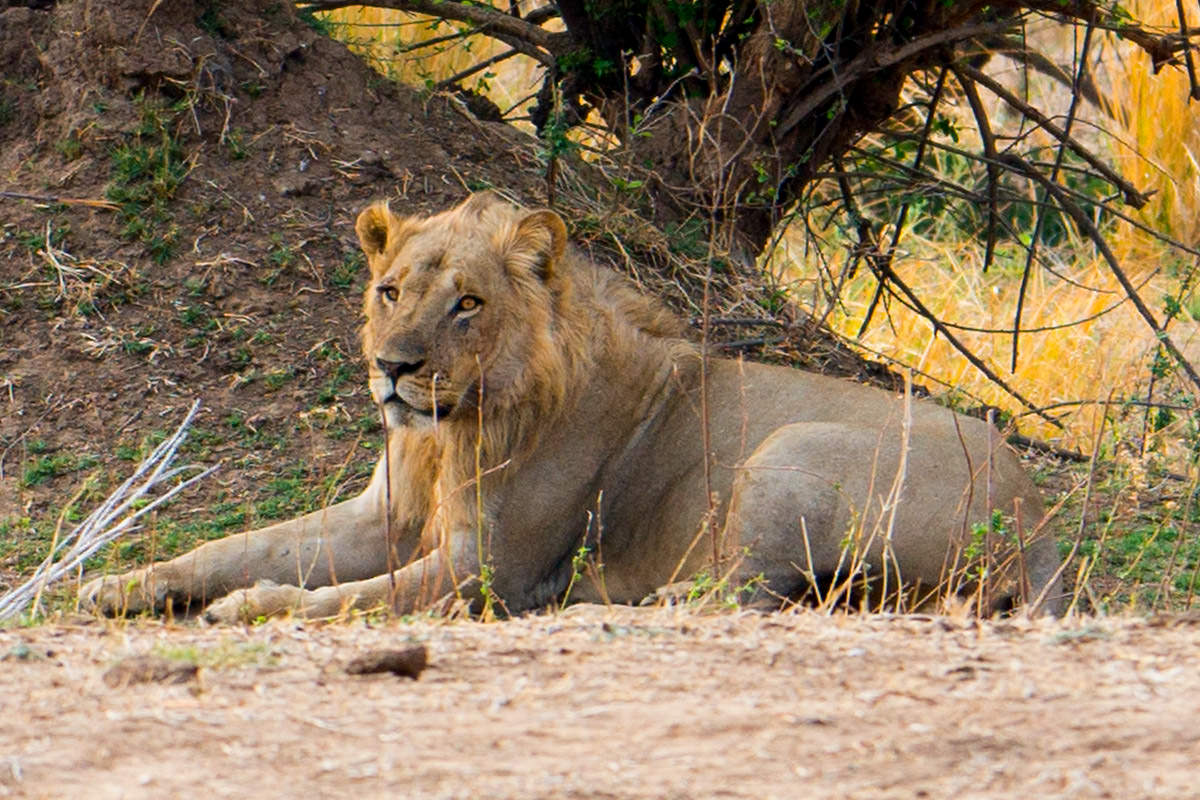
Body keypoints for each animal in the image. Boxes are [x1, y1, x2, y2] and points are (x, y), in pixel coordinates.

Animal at [79, 191, 1065, 618]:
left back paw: (601, 605)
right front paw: (124, 584)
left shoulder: (490, 569)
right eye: (390, 291)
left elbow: (349, 597)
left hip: (788, 450)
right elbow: (236, 546)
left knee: (730, 598)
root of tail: (1038, 524)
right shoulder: (383, 517)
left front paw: (249, 608)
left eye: (467, 303)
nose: (393, 368)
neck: (448, 432)